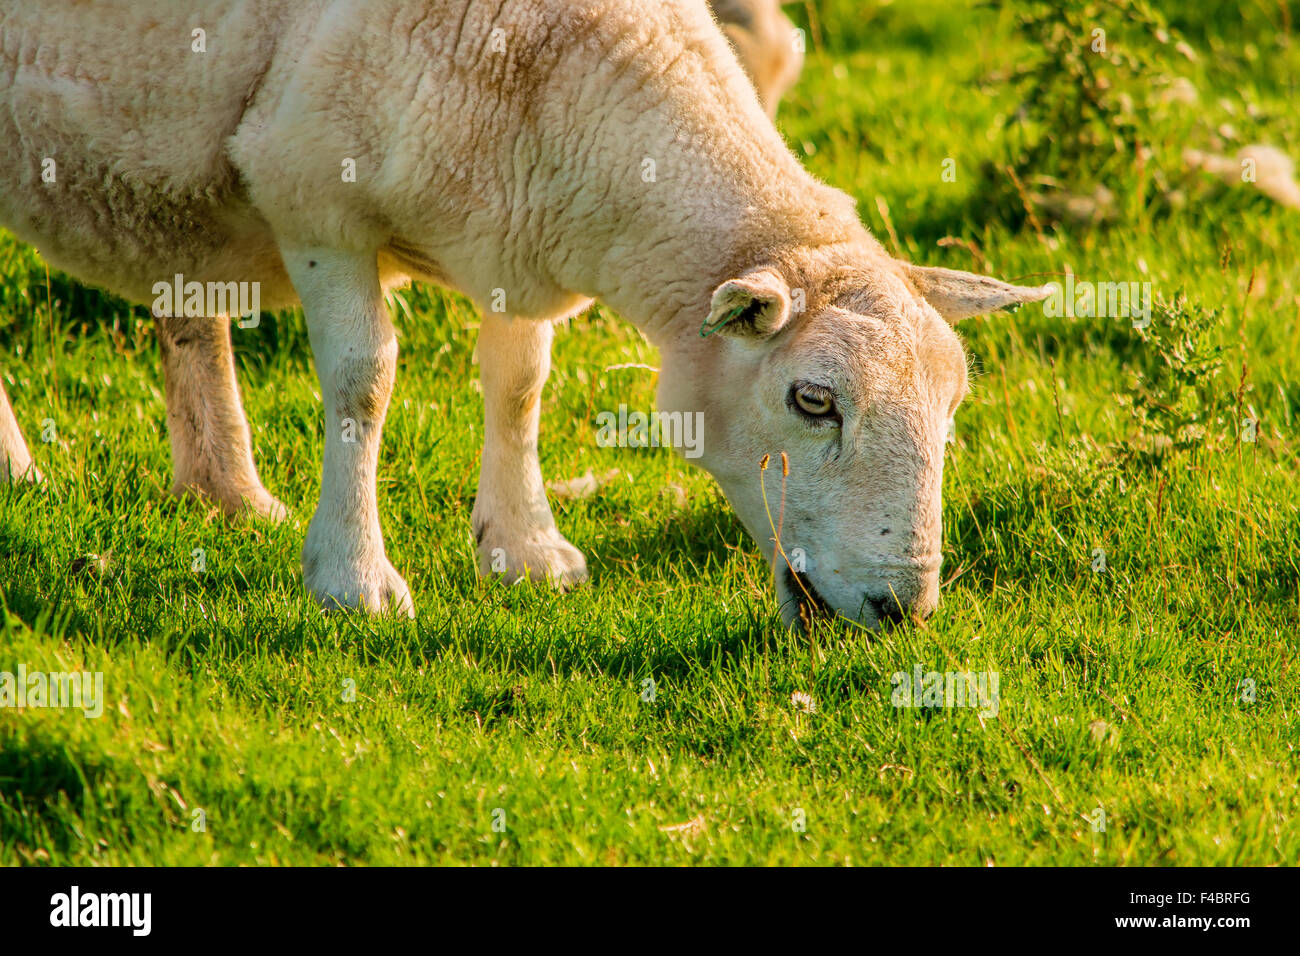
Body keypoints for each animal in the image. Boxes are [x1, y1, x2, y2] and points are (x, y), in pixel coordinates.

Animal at [0, 1, 1045, 629]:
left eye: (952, 416)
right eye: (813, 400)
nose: (904, 610)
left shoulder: (518, 231)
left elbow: (520, 384)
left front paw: (525, 548)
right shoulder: (312, 197)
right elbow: (364, 383)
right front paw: (354, 579)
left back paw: (224, 492)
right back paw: (21, 468)